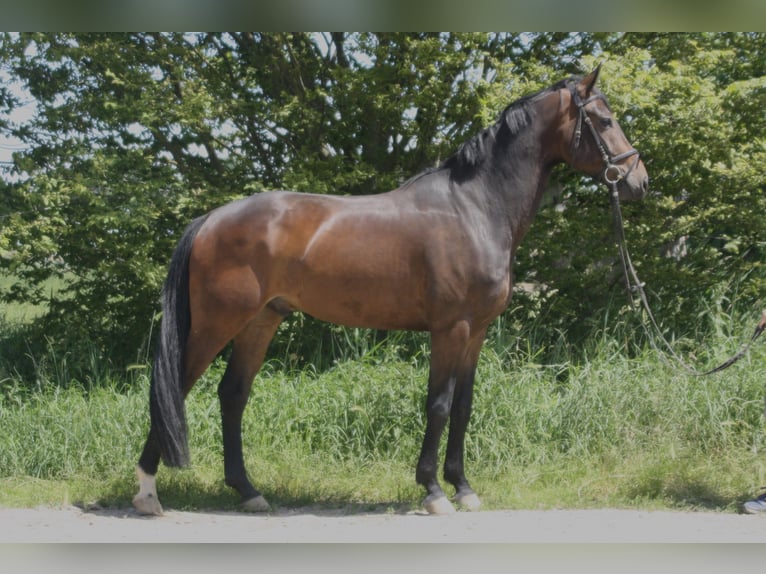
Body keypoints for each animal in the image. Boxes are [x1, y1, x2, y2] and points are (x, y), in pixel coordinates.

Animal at [130, 66, 648, 516]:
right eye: (605, 120)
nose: (638, 181)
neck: (474, 208)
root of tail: (210, 219)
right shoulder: (450, 329)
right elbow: (438, 406)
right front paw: (433, 491)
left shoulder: (477, 332)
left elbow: (463, 408)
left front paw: (463, 488)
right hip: (217, 324)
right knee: (176, 389)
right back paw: (148, 493)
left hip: (260, 321)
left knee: (233, 395)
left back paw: (248, 491)